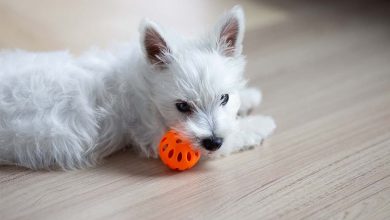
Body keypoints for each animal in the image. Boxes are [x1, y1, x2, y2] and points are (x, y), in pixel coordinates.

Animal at [0, 5, 274, 170]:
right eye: (182, 106)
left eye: (224, 98)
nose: (213, 140)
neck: (147, 87)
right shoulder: (156, 135)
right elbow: (235, 136)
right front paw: (262, 123)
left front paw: (250, 96)